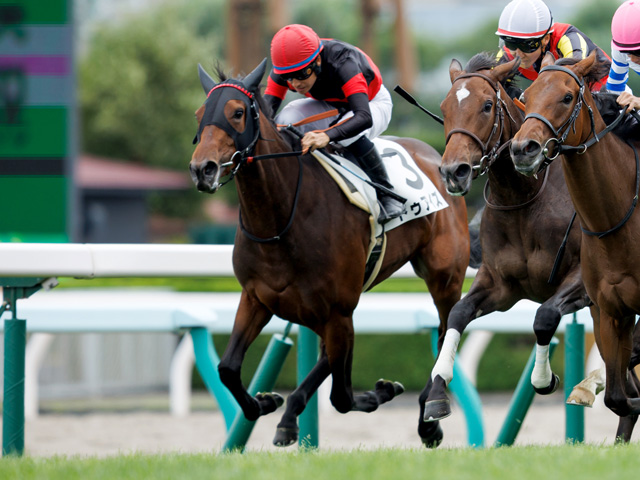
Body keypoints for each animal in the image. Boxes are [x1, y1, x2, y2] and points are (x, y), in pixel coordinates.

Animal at [189, 59, 470, 446]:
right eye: (200, 114)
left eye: (237, 113)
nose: (202, 169)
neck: (280, 221)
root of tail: (436, 156)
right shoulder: (257, 297)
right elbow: (228, 368)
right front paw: (266, 402)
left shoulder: (337, 308)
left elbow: (342, 397)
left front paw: (382, 393)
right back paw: (289, 414)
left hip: (443, 276)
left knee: (445, 331)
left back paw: (428, 417)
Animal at [422, 53, 596, 436]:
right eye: (444, 107)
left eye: (487, 106)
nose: (453, 171)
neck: (524, 198)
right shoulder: (500, 285)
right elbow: (458, 313)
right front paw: (437, 395)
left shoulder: (582, 277)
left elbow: (544, 315)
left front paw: (545, 379)